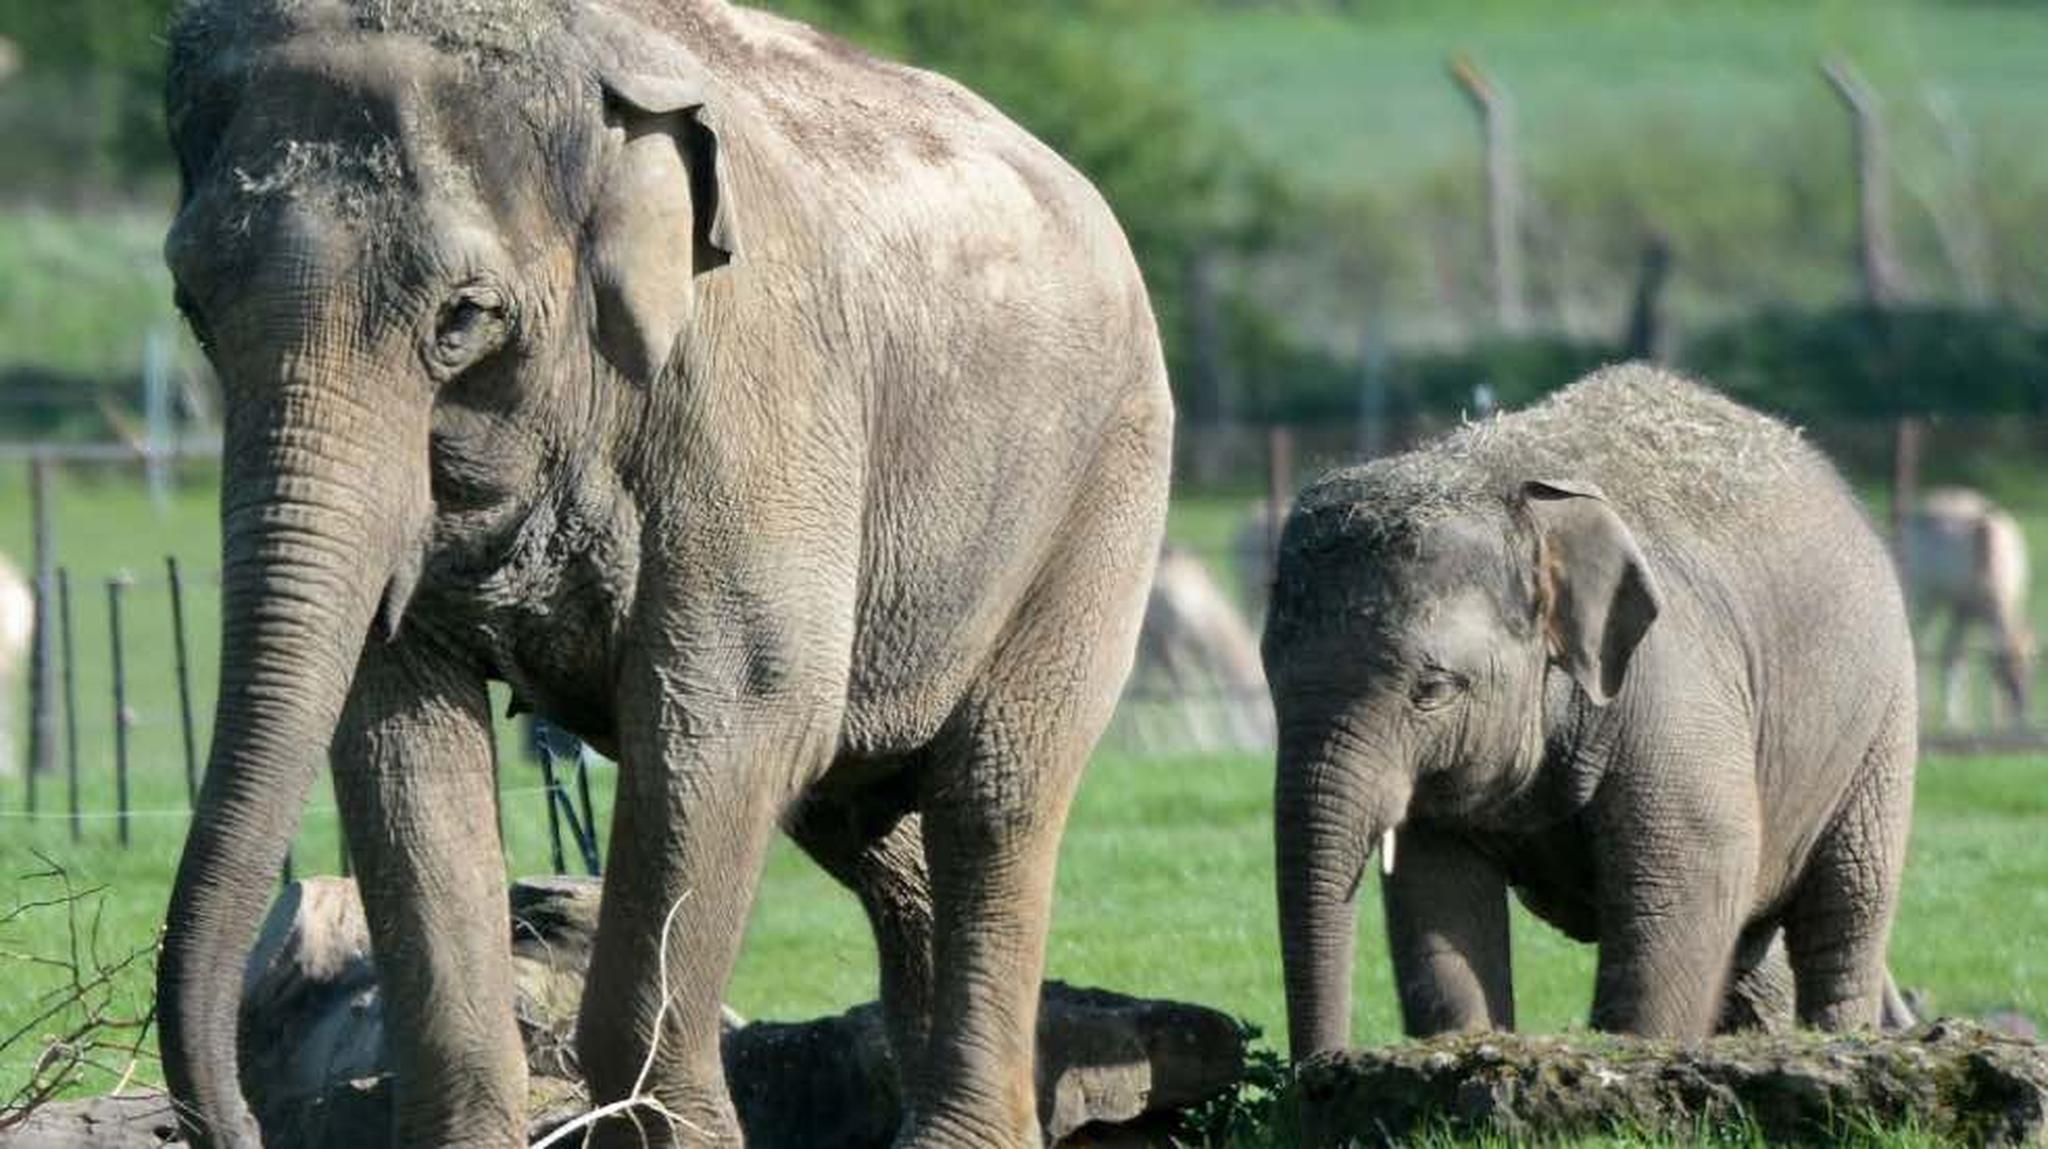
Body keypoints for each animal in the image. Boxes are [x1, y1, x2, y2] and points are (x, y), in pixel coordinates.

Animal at [154, 2, 1173, 1146]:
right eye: (192, 305)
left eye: (463, 317)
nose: (238, 1123)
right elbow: (393, 731)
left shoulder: (752, 387)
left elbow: (733, 716)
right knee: (870, 824)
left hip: (1101, 491)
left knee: (992, 795)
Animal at [1266, 364, 1917, 1061]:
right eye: (1272, 682)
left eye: (1432, 688)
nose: (1320, 1065)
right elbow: (1438, 897)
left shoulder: (1675, 688)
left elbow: (1691, 875)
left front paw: (1629, 1053)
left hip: (1883, 723)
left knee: (1846, 911)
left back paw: (1839, 1037)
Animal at [1898, 486, 2033, 729]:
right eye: (2006, 678)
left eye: (2031, 672)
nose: (2021, 714)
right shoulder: (1969, 608)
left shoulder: (1968, 611)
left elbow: (1958, 656)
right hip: (1926, 595)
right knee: (1920, 643)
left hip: (1954, 609)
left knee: (1946, 650)